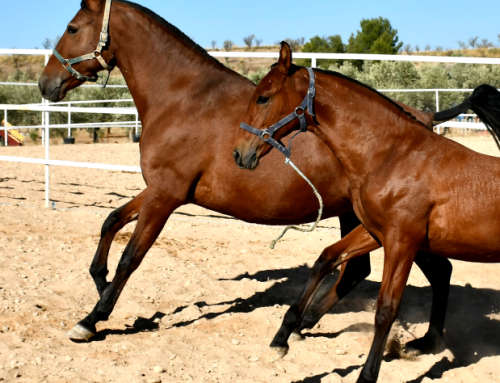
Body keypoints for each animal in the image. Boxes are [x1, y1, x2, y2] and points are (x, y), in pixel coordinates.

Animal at [39, 0, 460, 348]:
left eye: (72, 28)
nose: (46, 84)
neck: (182, 98)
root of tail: (423, 119)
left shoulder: (166, 195)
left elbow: (131, 257)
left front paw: (91, 320)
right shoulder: (162, 189)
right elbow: (111, 220)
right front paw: (99, 280)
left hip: (391, 228)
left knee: (434, 270)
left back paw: (421, 341)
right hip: (364, 220)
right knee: (369, 269)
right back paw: (308, 325)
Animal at [234, 42, 500, 383]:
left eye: (263, 98)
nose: (239, 154)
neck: (393, 157)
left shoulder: (402, 242)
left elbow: (386, 309)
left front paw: (366, 375)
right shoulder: (375, 231)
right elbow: (326, 259)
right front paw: (282, 337)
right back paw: (424, 343)